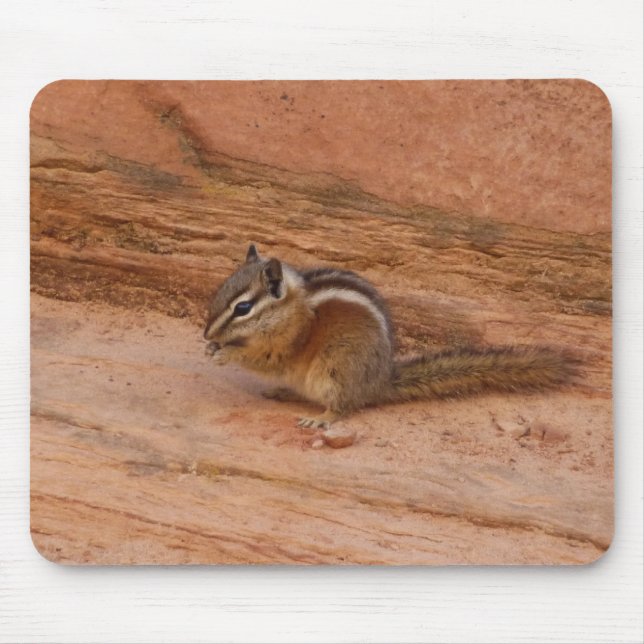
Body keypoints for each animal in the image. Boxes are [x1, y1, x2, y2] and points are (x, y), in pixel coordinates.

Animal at [204, 245, 576, 429]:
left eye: (243, 308)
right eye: (220, 292)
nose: (206, 331)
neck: (290, 308)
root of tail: (378, 382)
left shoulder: (289, 342)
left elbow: (266, 359)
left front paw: (226, 353)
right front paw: (211, 346)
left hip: (335, 369)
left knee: (343, 406)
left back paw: (321, 418)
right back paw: (282, 392)